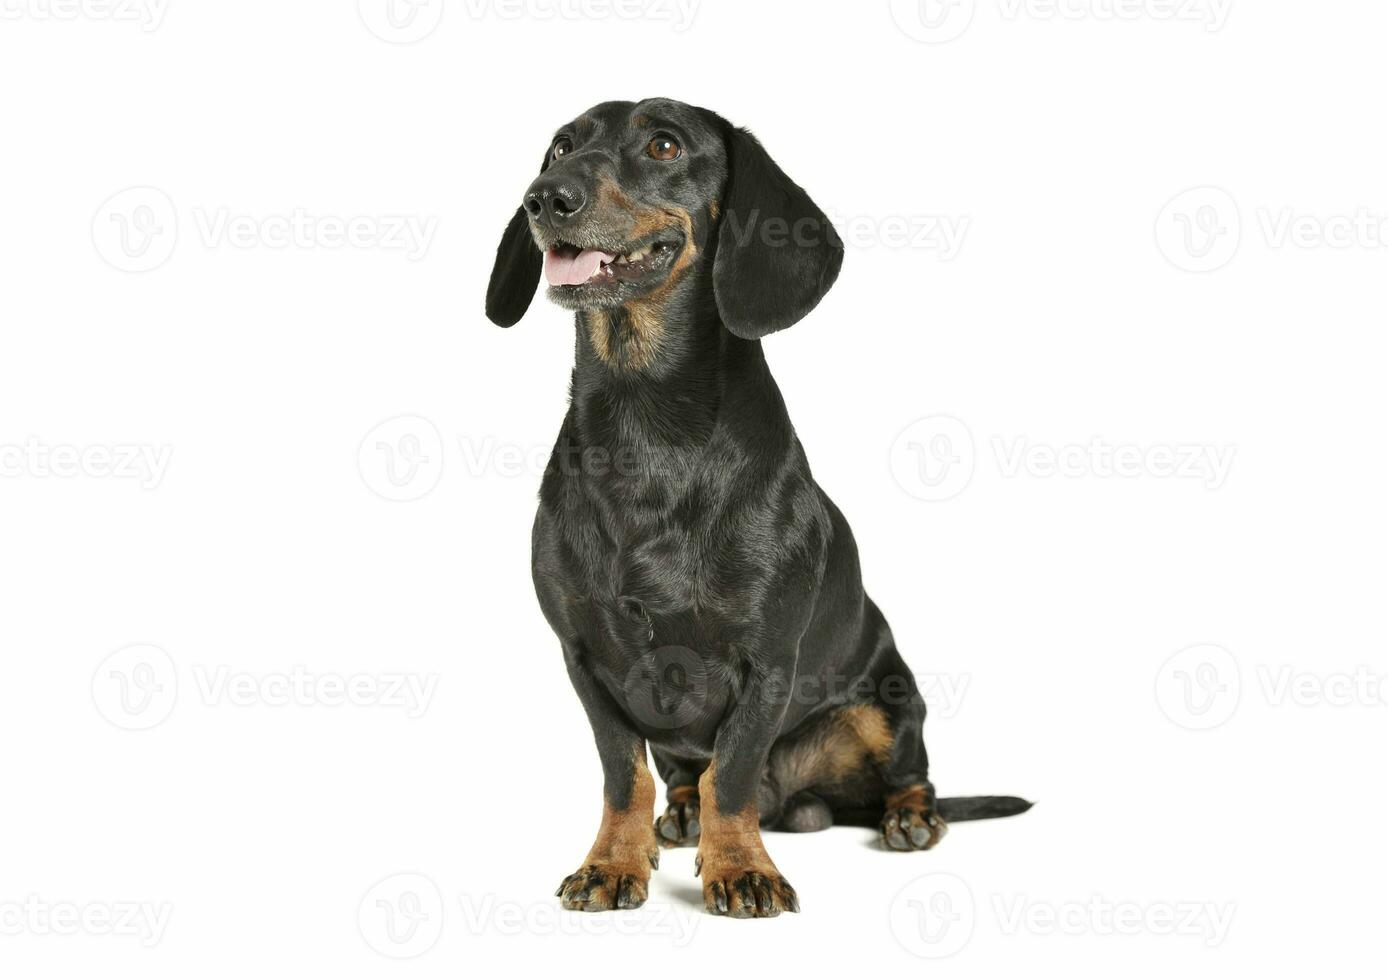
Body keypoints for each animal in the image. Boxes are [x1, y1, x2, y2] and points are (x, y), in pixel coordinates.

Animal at [488, 99, 1032, 916]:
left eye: (664, 144)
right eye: (559, 146)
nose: (544, 198)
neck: (647, 426)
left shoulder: (768, 658)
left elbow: (734, 772)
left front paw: (742, 867)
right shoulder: (583, 656)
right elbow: (624, 775)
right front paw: (613, 862)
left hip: (890, 699)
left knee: (909, 774)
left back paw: (909, 818)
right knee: (683, 777)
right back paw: (680, 815)